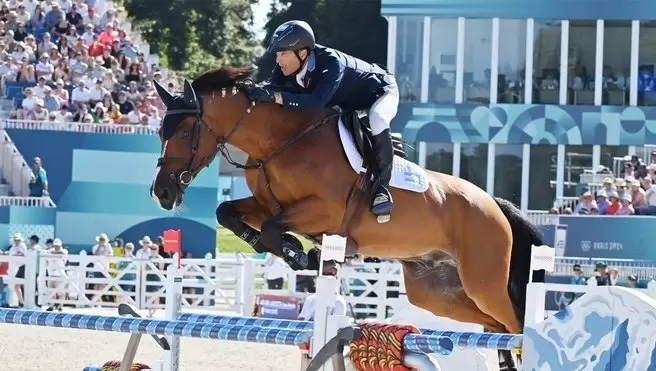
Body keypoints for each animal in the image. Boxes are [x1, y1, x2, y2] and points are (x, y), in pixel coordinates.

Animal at [151, 67, 544, 370]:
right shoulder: (265, 205)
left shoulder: (323, 211)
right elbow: (229, 214)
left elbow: (275, 228)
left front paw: (301, 254)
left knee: (515, 321)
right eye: (159, 133)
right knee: (495, 325)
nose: (162, 193)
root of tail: (493, 204)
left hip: (483, 281)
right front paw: (290, 250)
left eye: (185, 132)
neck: (281, 142)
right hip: (437, 292)